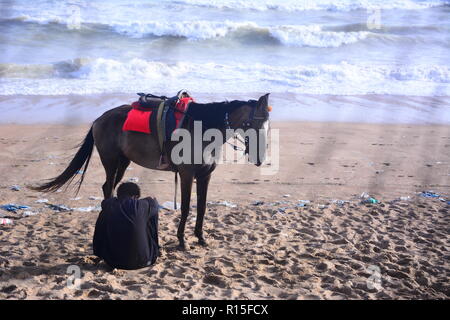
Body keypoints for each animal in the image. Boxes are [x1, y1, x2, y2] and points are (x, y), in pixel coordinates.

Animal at [32, 93, 270, 250]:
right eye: (257, 125)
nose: (260, 157)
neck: (202, 129)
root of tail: (99, 119)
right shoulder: (186, 175)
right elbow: (185, 208)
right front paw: (182, 240)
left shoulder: (205, 176)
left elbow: (202, 208)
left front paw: (200, 237)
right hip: (111, 162)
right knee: (108, 188)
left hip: (122, 162)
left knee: (109, 188)